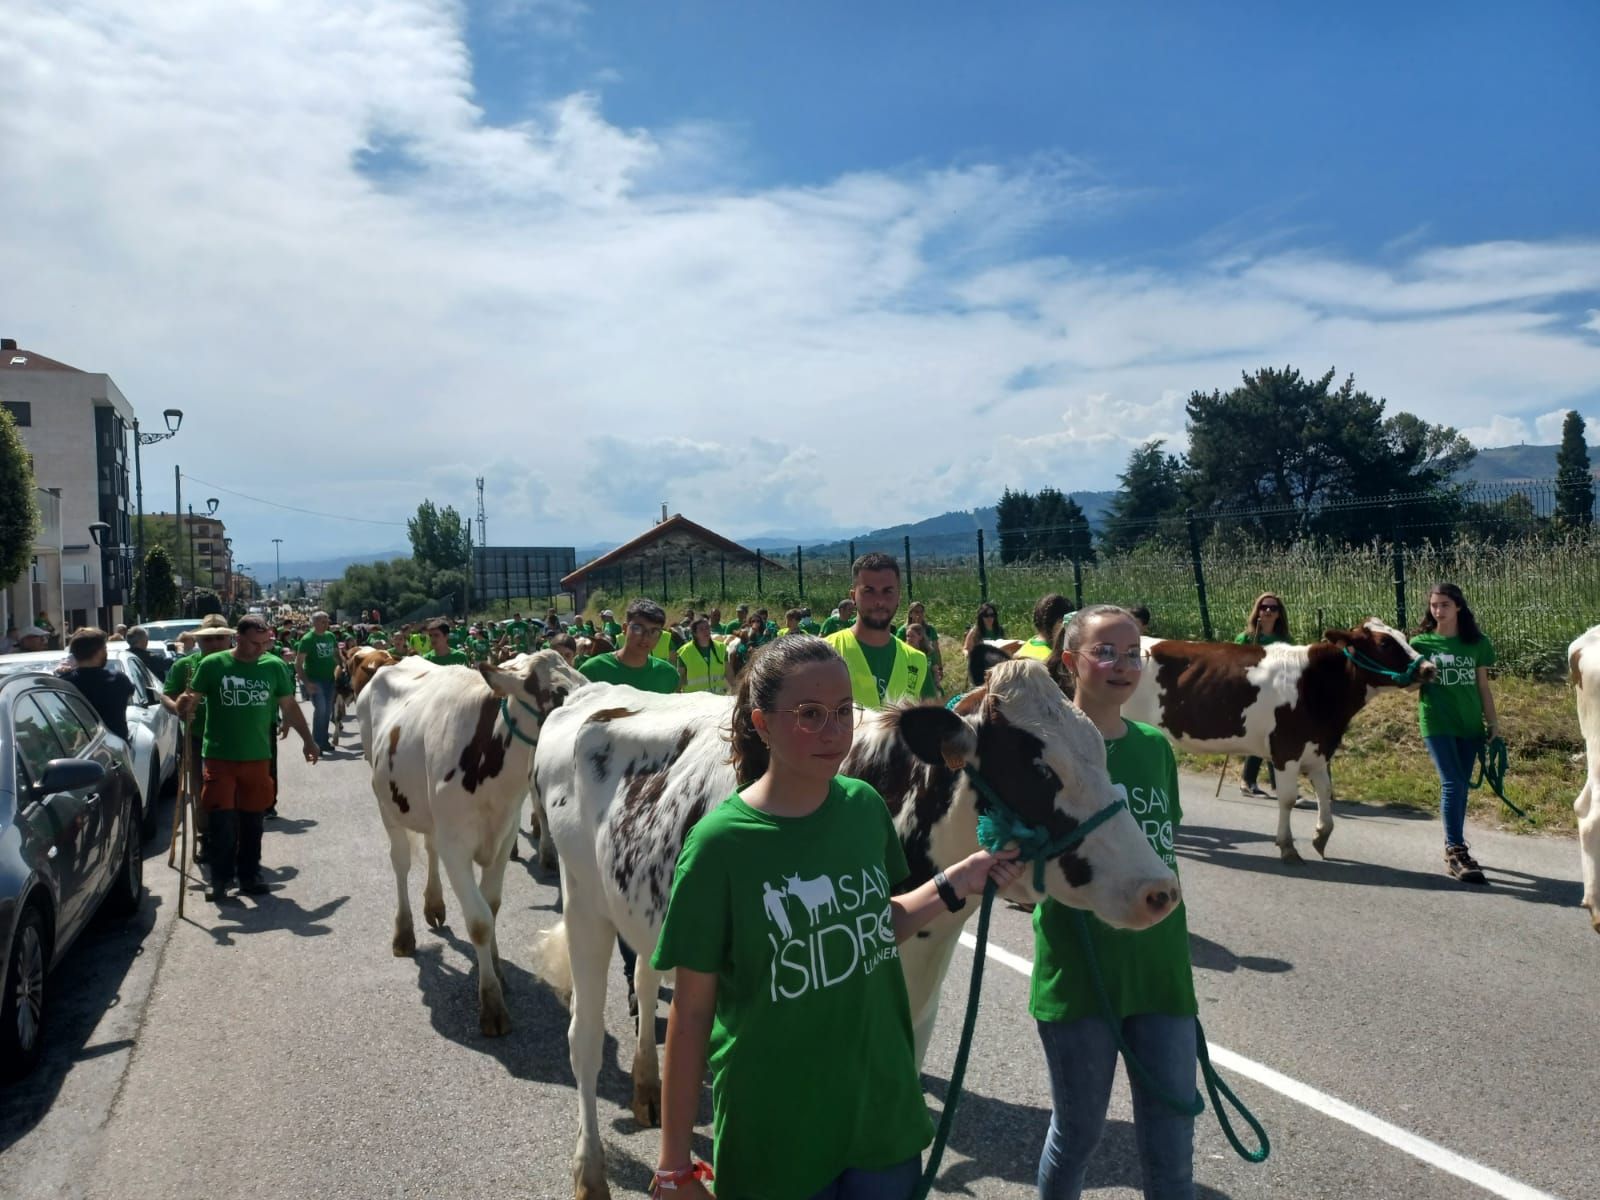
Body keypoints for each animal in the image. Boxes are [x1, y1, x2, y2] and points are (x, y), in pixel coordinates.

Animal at [358, 652, 588, 1036]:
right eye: (557, 696)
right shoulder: (457, 848)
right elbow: (479, 920)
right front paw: (491, 1004)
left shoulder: (504, 836)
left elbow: (491, 906)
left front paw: (494, 966)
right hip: (386, 805)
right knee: (401, 863)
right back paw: (404, 933)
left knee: (429, 847)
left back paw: (434, 905)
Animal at [531, 659, 1184, 1200]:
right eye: (1037, 767)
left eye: (1101, 751)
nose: (1159, 890)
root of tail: (592, 694)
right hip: (583, 900)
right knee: (582, 1039)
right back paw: (591, 1173)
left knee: (644, 979)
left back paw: (647, 1088)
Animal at [1126, 620, 1440, 864]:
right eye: (1385, 643)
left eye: (1403, 637)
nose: (1428, 668)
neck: (1315, 684)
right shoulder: (1287, 751)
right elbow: (1287, 799)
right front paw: (1288, 847)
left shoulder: (1318, 750)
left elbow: (1326, 793)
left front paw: (1321, 836)